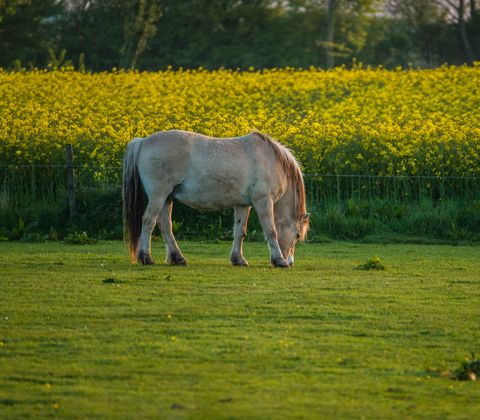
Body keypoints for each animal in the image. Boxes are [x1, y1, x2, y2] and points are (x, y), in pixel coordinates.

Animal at [122, 130, 310, 270]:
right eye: (297, 234)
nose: (291, 262)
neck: (271, 160)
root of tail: (143, 141)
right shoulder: (263, 201)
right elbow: (271, 231)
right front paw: (279, 260)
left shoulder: (243, 205)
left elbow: (239, 231)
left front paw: (238, 259)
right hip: (158, 196)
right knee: (148, 221)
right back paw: (146, 258)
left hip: (166, 199)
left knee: (165, 226)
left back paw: (178, 258)